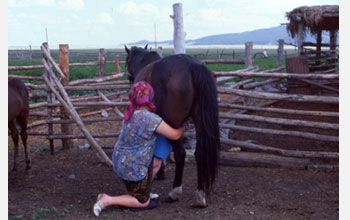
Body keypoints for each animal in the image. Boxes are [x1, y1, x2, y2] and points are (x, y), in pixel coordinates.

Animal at [124, 45, 220, 208]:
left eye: (126, 61)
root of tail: (193, 65)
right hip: (199, 122)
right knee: (200, 153)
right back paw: (200, 195)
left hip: (173, 124)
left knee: (180, 153)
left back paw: (175, 192)